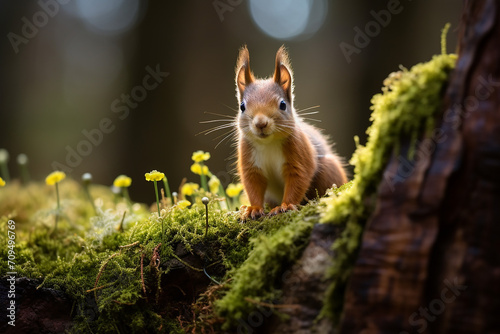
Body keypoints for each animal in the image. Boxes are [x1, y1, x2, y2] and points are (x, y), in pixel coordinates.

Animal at [235, 46, 346, 219]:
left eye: (282, 104)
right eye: (242, 106)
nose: (261, 124)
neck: (268, 143)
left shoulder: (299, 151)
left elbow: (298, 180)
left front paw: (285, 206)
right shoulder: (249, 161)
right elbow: (253, 186)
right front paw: (253, 208)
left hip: (330, 169)